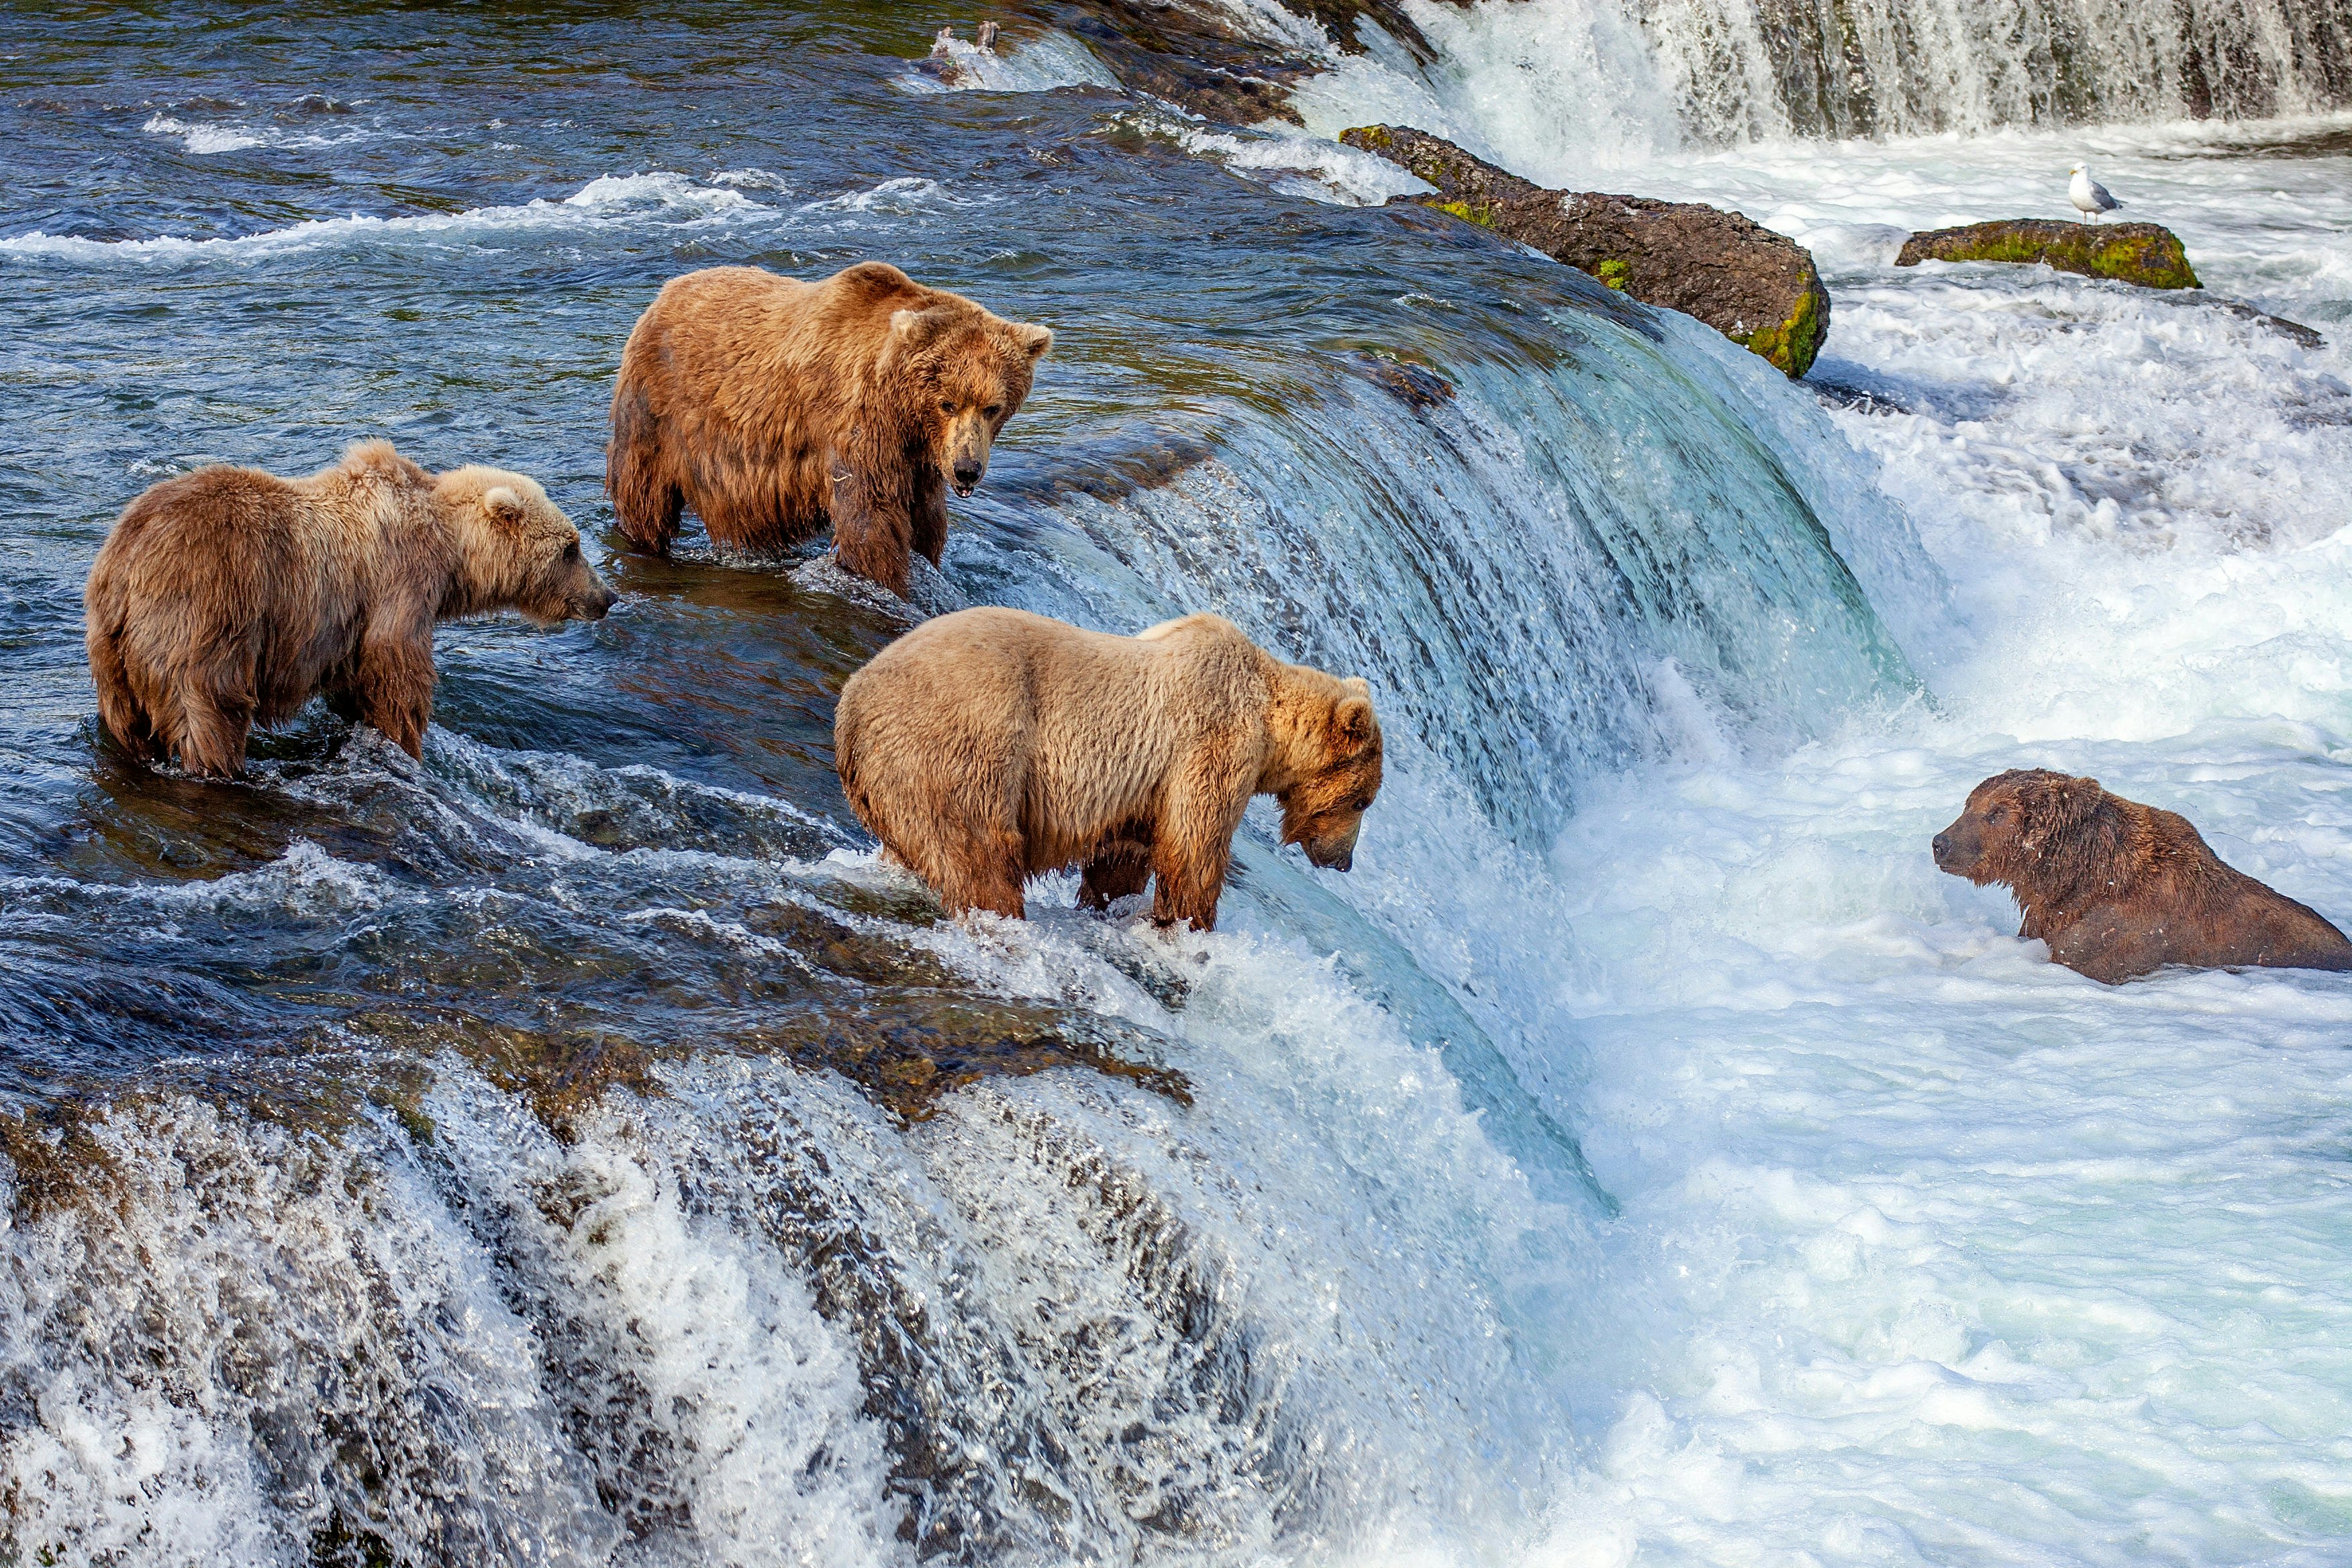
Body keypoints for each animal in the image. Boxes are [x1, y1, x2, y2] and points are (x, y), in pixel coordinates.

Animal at [84, 439, 615, 779]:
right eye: (571, 547)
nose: (606, 597)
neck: (451, 553)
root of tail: (123, 562)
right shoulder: (397, 584)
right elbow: (396, 672)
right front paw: (407, 745)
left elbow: (355, 683)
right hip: (207, 616)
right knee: (211, 712)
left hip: (110, 648)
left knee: (126, 722)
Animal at [605, 260, 1053, 598]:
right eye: (949, 403)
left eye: (993, 407)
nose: (967, 470)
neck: (904, 412)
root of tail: (665, 291)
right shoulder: (859, 426)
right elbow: (871, 522)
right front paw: (888, 583)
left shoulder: (919, 459)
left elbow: (926, 521)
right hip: (657, 411)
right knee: (644, 494)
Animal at [833, 607, 1383, 930]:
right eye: (1362, 800)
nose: (1344, 860)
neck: (1269, 717)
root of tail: (851, 707)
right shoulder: (1211, 741)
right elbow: (1194, 849)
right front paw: (1191, 926)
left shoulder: (1141, 791)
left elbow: (1123, 856)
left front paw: (1108, 904)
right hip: (963, 747)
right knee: (979, 852)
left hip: (894, 782)